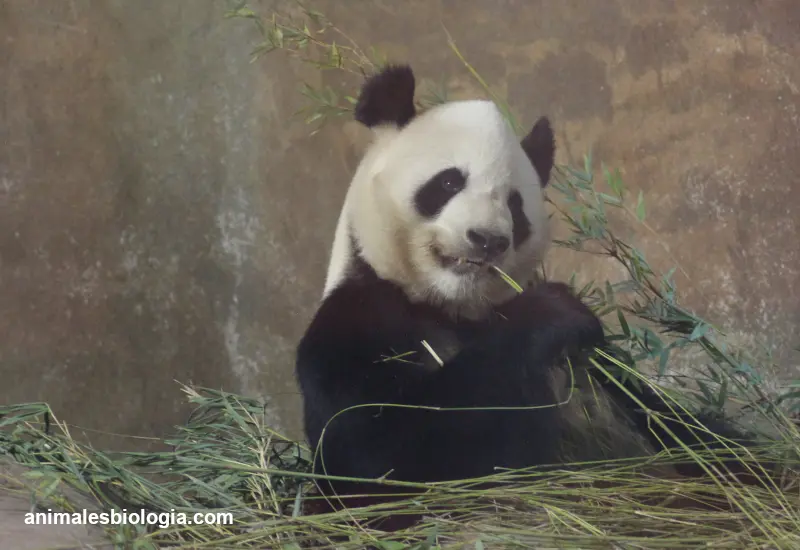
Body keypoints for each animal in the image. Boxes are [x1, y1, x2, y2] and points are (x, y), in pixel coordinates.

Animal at [296, 63, 764, 532]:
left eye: (515, 205)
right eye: (448, 182)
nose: (488, 240)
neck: (450, 307)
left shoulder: (606, 375)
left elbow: (674, 424)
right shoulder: (356, 322)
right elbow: (384, 458)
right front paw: (553, 311)